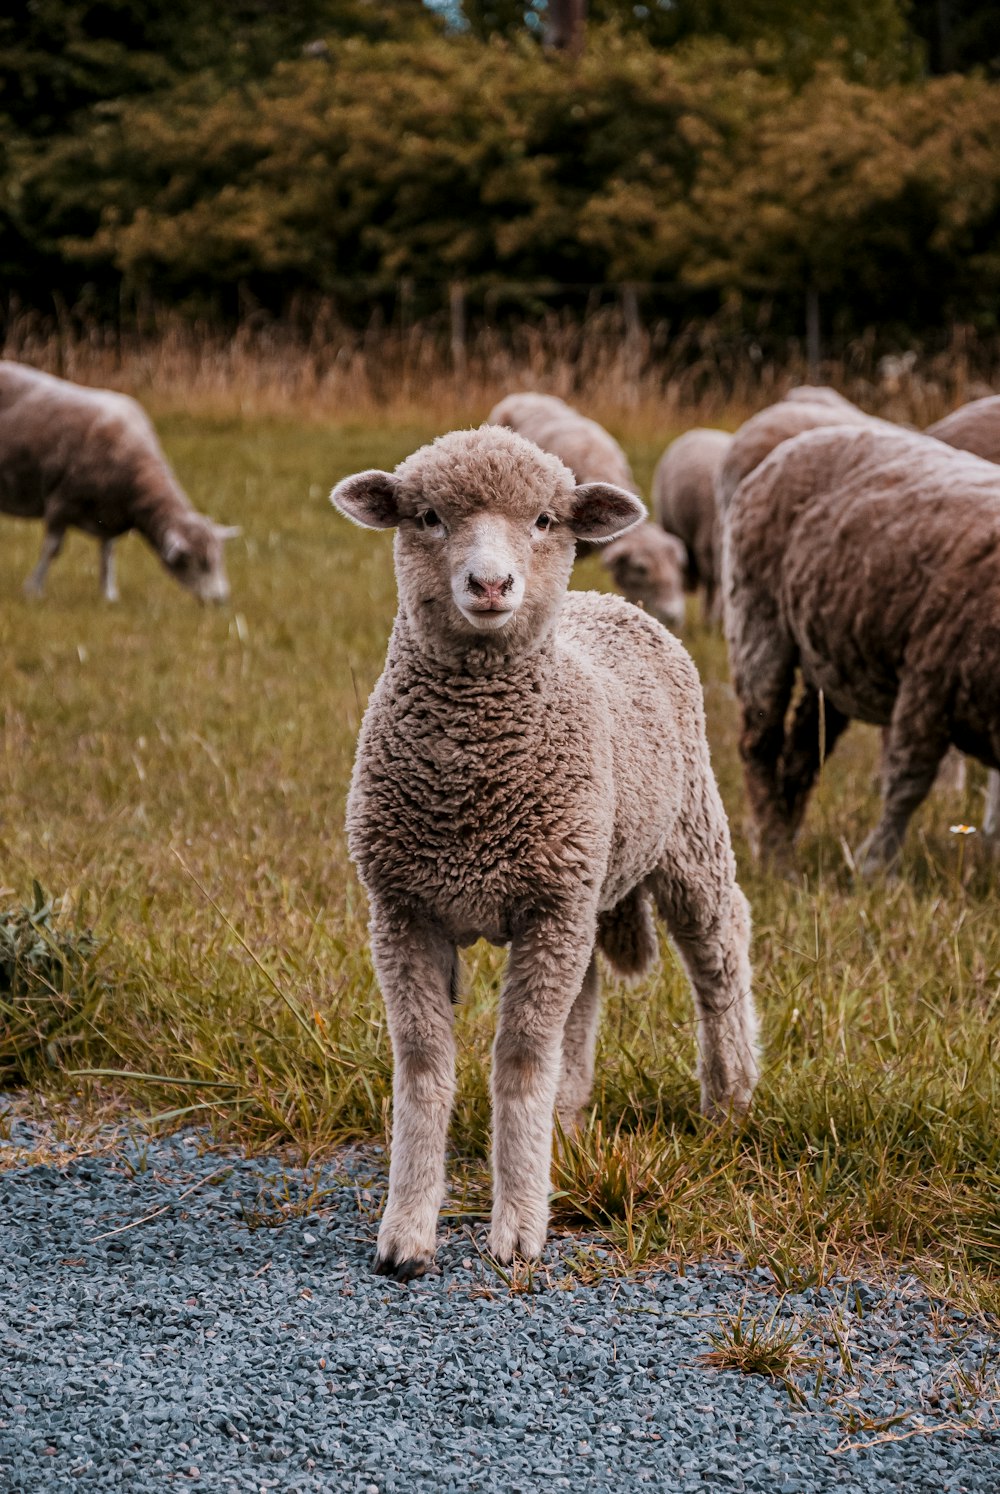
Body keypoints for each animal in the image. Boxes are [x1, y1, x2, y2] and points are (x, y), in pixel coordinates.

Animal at [0, 358, 237, 597]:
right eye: (197, 562)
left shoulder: (109, 514)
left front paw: (108, 594)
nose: (220, 599)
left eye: (219, 559)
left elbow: (108, 554)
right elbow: (51, 550)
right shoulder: (61, 502)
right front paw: (34, 589)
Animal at [720, 421, 998, 872]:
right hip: (756, 619)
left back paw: (787, 840)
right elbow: (908, 783)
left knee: (802, 754)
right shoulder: (929, 679)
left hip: (829, 659)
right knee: (759, 745)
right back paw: (774, 854)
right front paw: (876, 866)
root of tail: (811, 435)